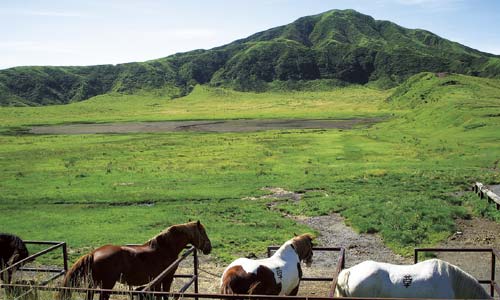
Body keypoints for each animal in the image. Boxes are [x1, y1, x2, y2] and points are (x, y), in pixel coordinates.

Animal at [58, 220, 211, 300]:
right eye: (203, 232)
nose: (209, 247)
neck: (165, 248)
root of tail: (93, 253)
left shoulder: (157, 281)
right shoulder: (167, 278)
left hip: (94, 284)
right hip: (106, 285)